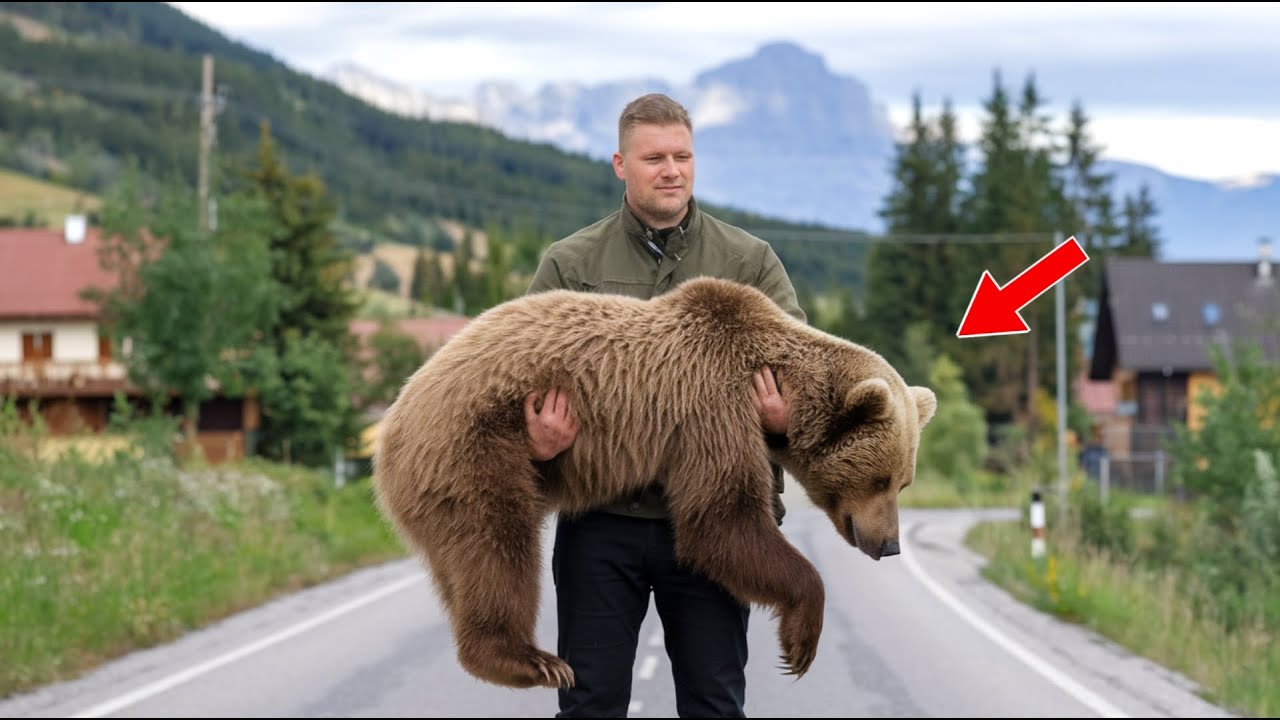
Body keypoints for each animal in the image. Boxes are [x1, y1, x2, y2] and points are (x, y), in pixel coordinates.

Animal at [372, 276, 936, 690]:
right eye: (882, 478)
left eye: (904, 483)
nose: (888, 544)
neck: (772, 371)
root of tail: (390, 428)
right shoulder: (714, 402)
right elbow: (720, 518)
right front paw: (799, 642)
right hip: (476, 445)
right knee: (499, 544)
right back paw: (527, 660)